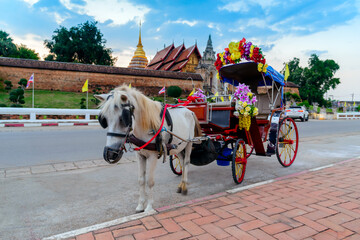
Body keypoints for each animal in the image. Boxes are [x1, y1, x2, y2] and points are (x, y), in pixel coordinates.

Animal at [95, 85, 202, 213]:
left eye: (123, 118)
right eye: (104, 119)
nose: (110, 153)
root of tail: (189, 111)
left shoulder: (153, 156)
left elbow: (150, 181)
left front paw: (149, 207)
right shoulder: (140, 155)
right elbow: (141, 180)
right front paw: (140, 205)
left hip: (189, 142)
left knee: (186, 162)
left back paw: (185, 186)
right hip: (179, 146)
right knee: (181, 160)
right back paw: (181, 185)